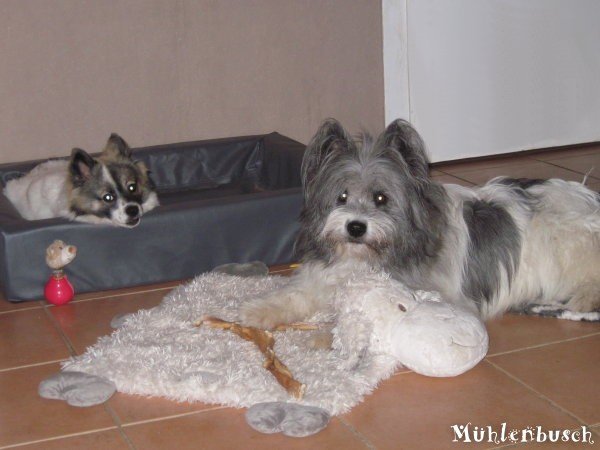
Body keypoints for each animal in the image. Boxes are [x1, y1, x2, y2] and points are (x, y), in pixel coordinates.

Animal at [241, 118, 600, 326]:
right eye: (341, 197)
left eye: (381, 198)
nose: (355, 227)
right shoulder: (319, 277)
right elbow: (294, 297)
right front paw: (253, 312)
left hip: (566, 238)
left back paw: (580, 301)